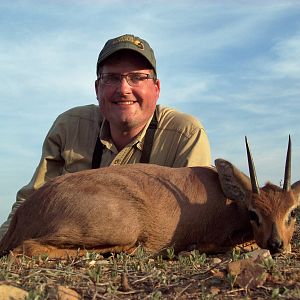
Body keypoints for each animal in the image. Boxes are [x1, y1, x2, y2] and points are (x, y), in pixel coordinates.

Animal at [0, 137, 298, 258]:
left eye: (293, 211)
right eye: (253, 213)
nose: (277, 244)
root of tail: (24, 213)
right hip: (120, 229)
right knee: (27, 248)